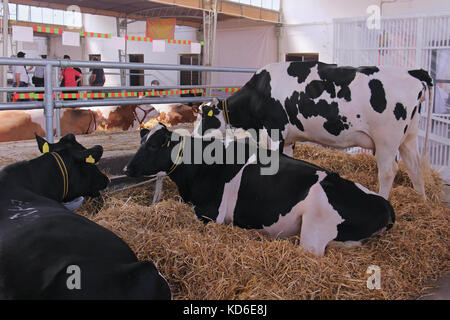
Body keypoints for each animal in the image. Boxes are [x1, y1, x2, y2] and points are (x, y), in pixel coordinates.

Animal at [125, 124, 396, 256]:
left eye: (153, 145)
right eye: (141, 141)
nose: (127, 167)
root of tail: (384, 204)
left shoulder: (211, 213)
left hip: (315, 230)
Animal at [195, 61, 434, 199]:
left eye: (205, 118)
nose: (196, 140)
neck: (259, 92)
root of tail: (413, 73)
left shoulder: (276, 129)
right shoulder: (290, 137)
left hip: (387, 140)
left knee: (388, 171)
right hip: (408, 137)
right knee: (414, 168)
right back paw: (422, 202)